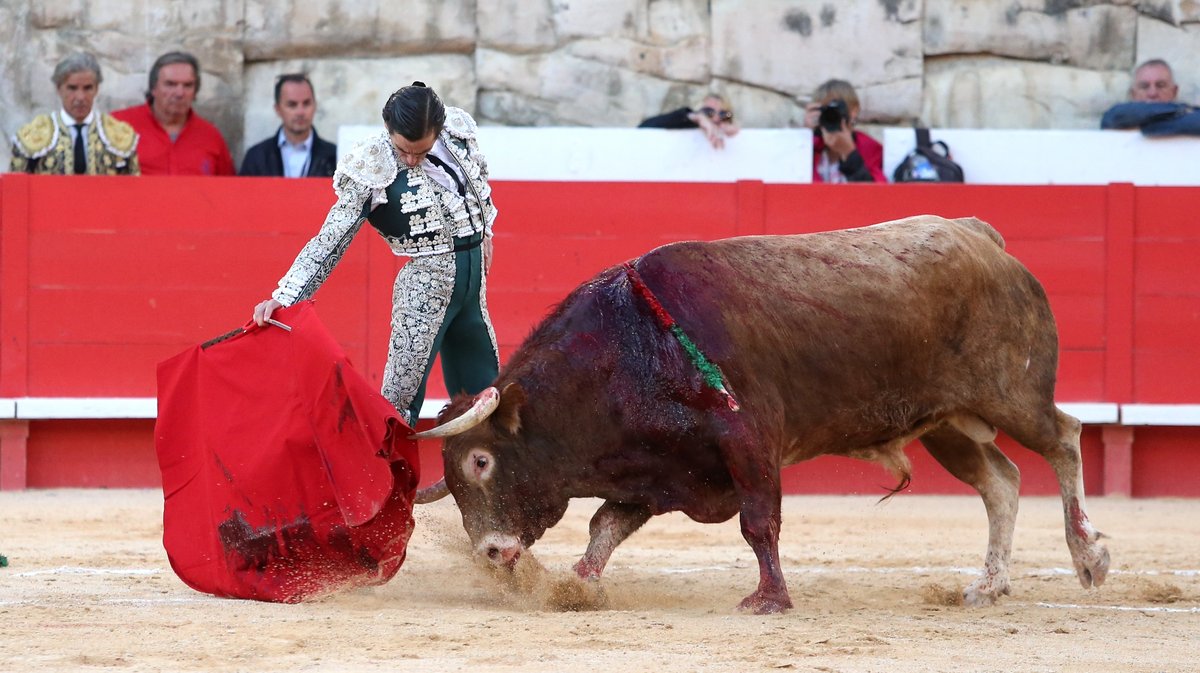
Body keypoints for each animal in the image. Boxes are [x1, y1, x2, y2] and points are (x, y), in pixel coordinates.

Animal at [410, 215, 1104, 614]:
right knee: (1002, 481)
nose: (491, 552)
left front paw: (769, 600)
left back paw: (1088, 558)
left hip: (1011, 395)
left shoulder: (750, 442)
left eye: (480, 460)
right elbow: (605, 527)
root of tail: (982, 237)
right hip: (945, 425)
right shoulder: (657, 470)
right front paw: (575, 587)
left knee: (1063, 438)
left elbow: (758, 524)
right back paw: (988, 586)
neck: (636, 348)